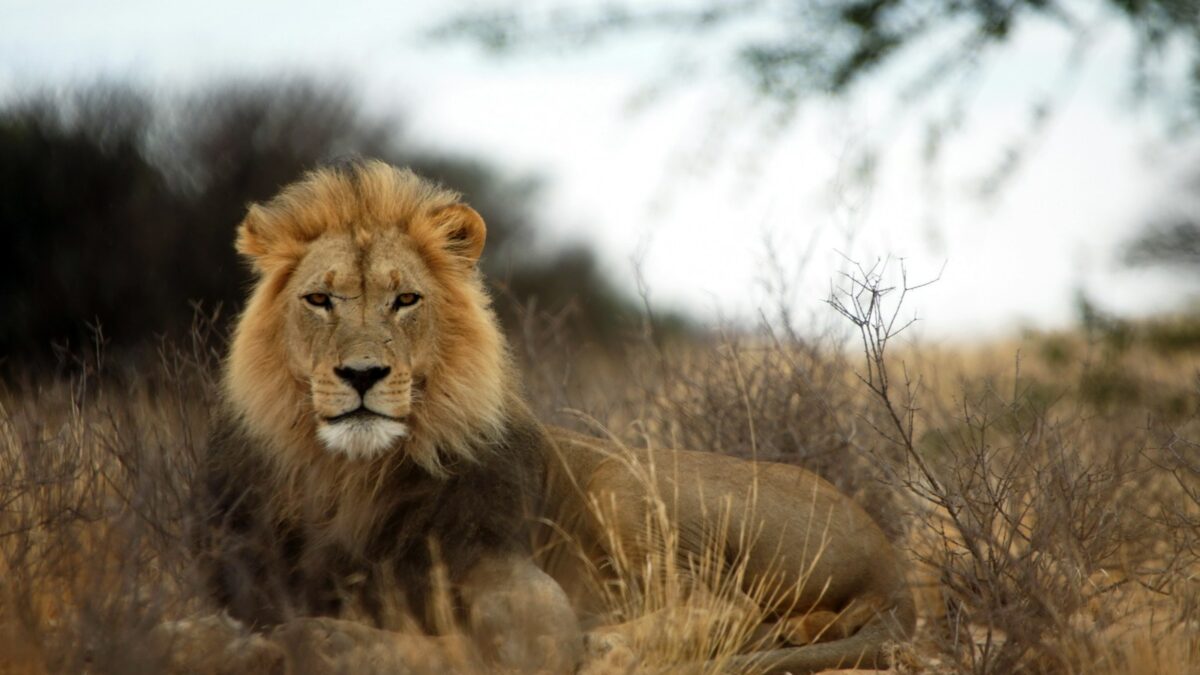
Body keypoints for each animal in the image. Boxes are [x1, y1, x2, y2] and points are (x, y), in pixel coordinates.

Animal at [199, 158, 907, 672]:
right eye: (319, 299)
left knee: (726, 603)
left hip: (622, 483)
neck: (356, 476)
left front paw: (327, 641)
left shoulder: (522, 588)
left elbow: (491, 646)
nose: (363, 374)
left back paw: (615, 647)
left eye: (406, 300)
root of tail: (887, 557)